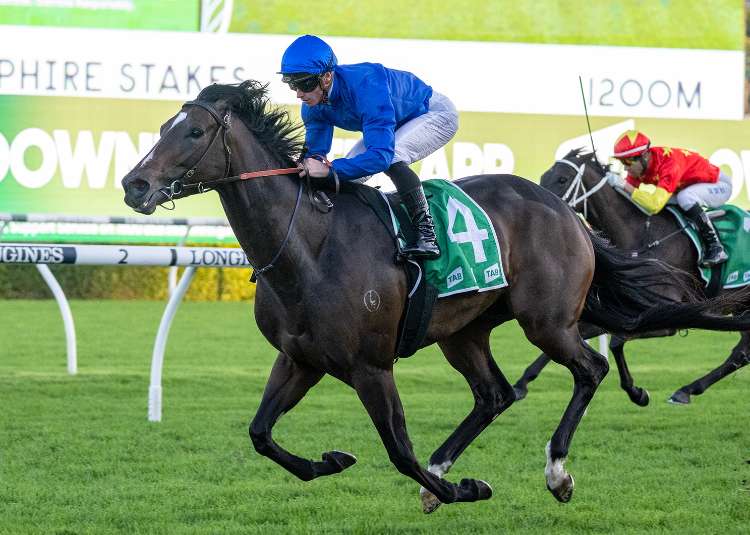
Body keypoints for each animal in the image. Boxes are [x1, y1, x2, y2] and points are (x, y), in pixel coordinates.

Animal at [514, 149, 750, 405]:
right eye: (545, 176)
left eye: (562, 179)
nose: (541, 205)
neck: (642, 235)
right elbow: (583, 335)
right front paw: (521, 384)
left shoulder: (666, 316)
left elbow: (617, 341)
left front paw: (636, 392)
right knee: (742, 352)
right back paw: (688, 389)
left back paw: (686, 390)